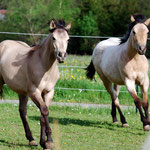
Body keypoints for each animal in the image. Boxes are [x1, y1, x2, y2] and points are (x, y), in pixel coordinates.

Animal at [0, 19, 71, 149]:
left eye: (68, 39)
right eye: (53, 38)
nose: (61, 56)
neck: (44, 67)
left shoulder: (48, 92)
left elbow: (43, 115)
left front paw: (44, 142)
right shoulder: (34, 92)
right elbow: (44, 111)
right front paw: (48, 142)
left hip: (22, 92)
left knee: (22, 111)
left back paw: (31, 139)